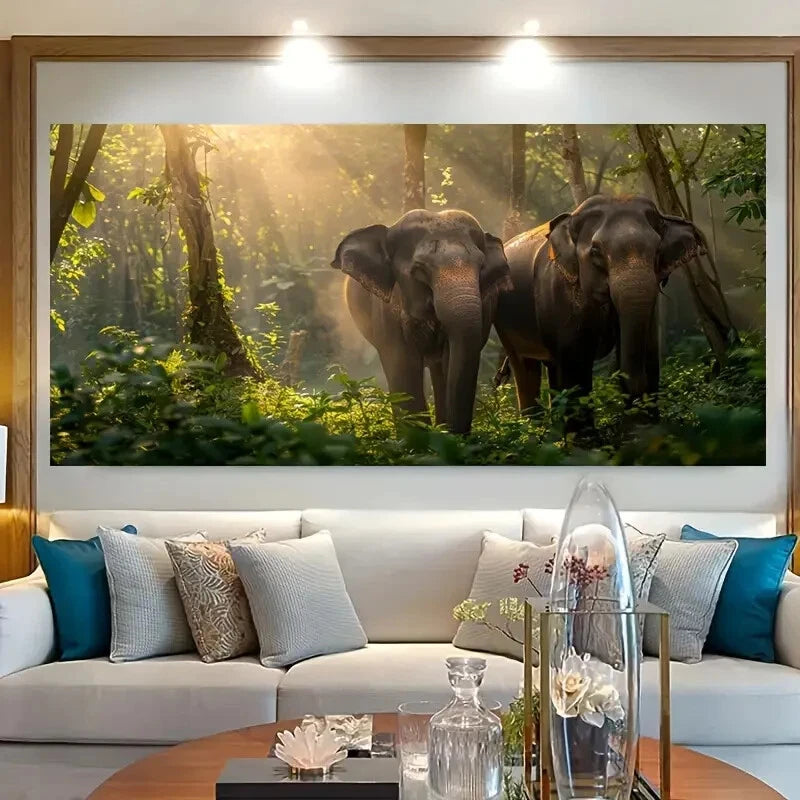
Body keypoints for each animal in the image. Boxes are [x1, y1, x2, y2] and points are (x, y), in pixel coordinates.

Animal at [331, 209, 512, 434]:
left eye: (481, 267)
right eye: (419, 269)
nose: (456, 434)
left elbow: (452, 358)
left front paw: (443, 435)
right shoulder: (386, 312)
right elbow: (402, 363)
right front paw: (417, 438)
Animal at [494, 194, 706, 419]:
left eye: (657, 250)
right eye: (596, 251)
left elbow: (650, 349)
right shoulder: (556, 292)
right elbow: (575, 364)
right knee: (525, 367)